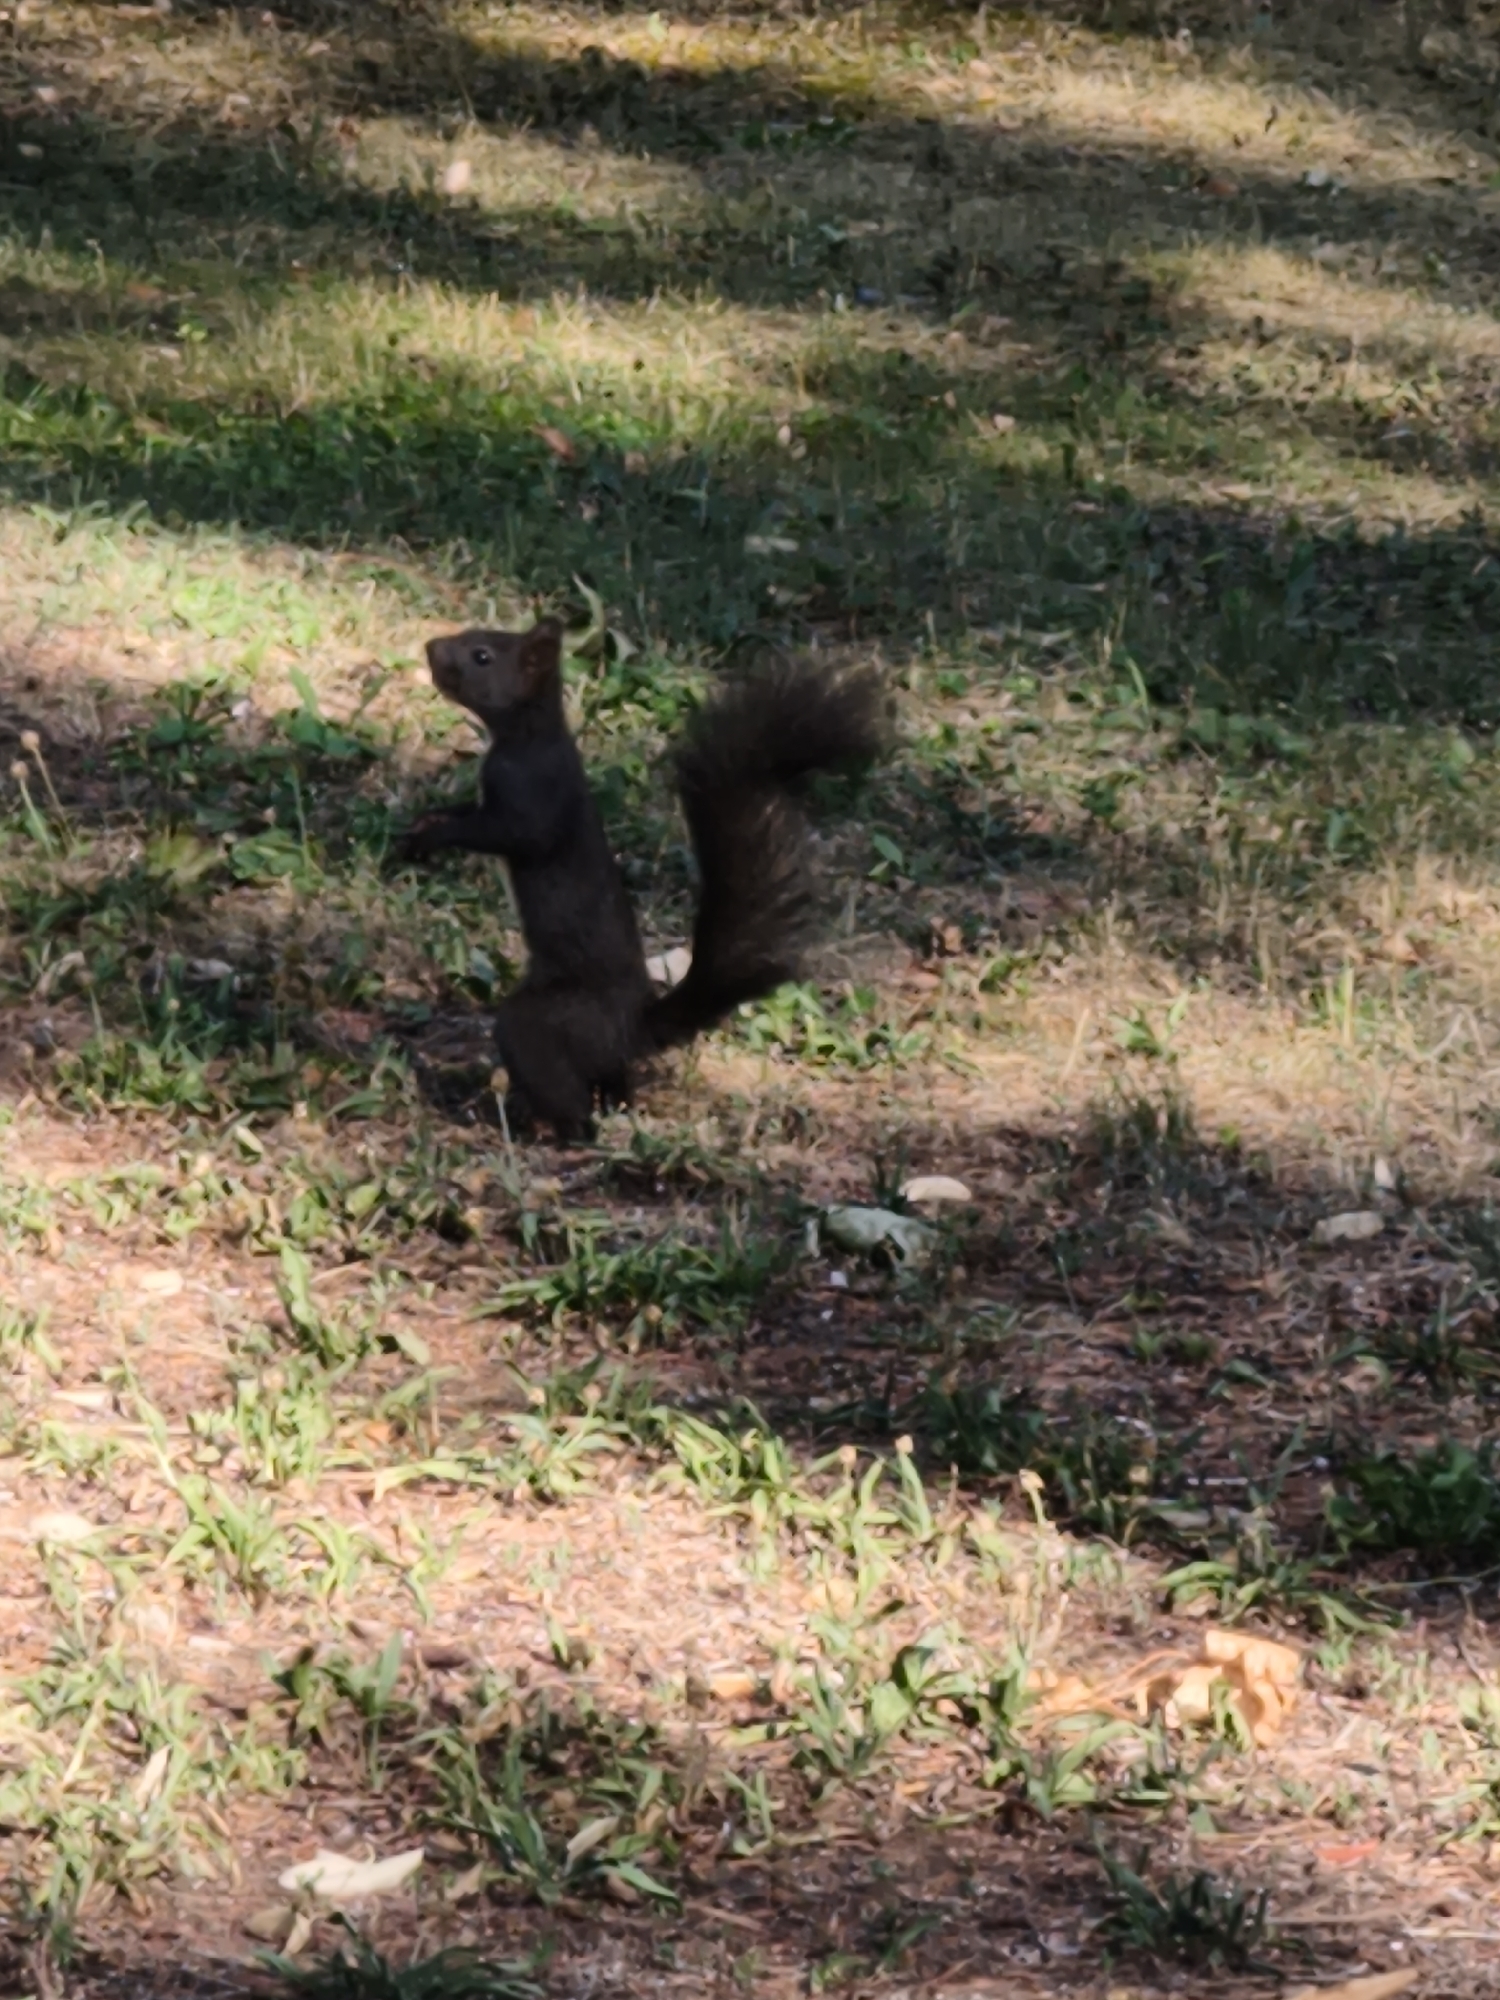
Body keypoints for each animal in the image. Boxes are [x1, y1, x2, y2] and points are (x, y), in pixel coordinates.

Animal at [401, 618, 886, 1140]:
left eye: (482, 656)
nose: (430, 647)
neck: (530, 734)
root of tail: (631, 1031)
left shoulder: (529, 796)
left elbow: (505, 833)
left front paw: (433, 835)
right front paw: (425, 823)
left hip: (552, 1021)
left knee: (563, 1089)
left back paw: (549, 1127)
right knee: (611, 1084)